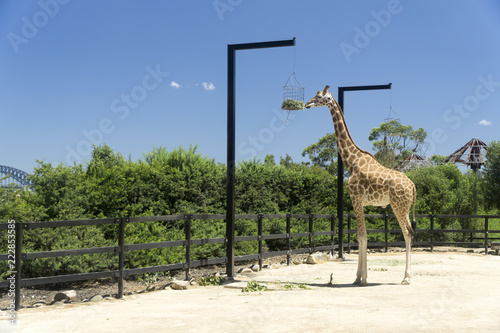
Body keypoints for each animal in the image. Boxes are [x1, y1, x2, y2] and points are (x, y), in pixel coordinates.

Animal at [304, 85, 418, 286]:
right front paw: (358, 276)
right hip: (403, 207)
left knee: (407, 233)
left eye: (319, 97)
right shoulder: (361, 202)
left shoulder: (356, 199)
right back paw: (407, 276)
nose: (307, 104)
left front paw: (362, 277)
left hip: (398, 206)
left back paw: (406, 278)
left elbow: (361, 237)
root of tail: (412, 186)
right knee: (411, 232)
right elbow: (361, 237)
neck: (351, 162)